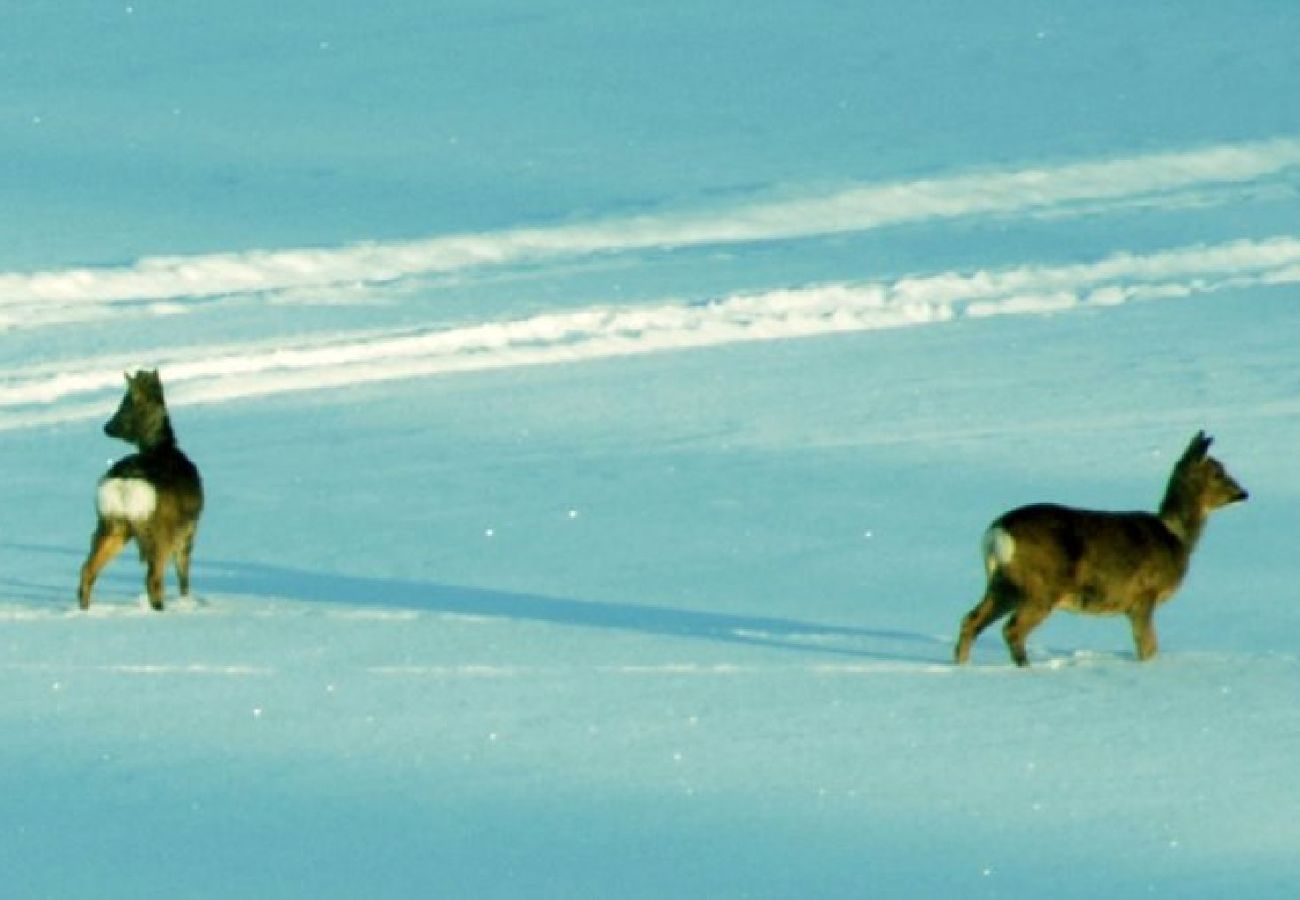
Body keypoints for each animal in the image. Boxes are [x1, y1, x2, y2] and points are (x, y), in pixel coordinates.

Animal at [78, 366, 202, 611]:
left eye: (124, 403)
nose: (107, 427)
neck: (162, 447)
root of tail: (126, 481)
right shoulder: (189, 528)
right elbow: (183, 575)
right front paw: (186, 601)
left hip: (111, 523)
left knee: (87, 569)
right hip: (159, 529)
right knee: (154, 578)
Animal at [956, 431, 1248, 663]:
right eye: (1218, 472)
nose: (1243, 493)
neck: (1175, 535)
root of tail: (997, 531)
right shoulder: (1144, 596)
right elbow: (1148, 647)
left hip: (1004, 585)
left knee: (971, 620)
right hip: (1041, 587)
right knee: (1012, 629)